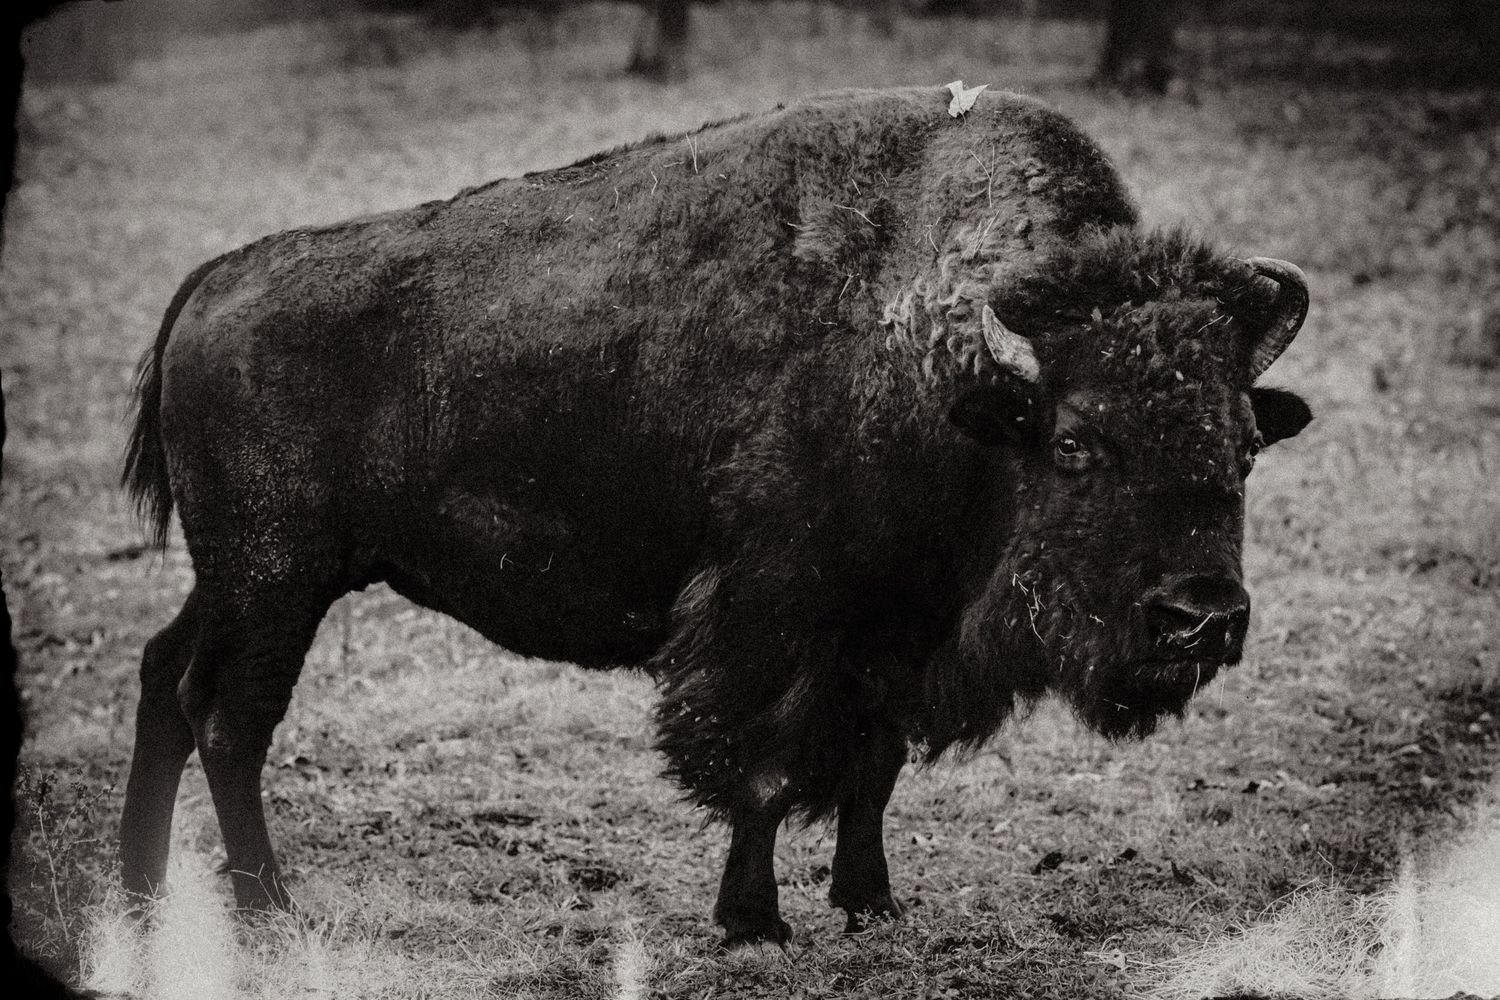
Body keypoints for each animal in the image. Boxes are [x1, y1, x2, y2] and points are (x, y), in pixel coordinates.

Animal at [119, 85, 1311, 946]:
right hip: (276, 580)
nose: (1202, 617)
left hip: (239, 579)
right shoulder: (773, 618)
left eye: (1245, 445)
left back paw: (138, 890)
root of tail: (216, 279)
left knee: (164, 679)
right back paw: (267, 907)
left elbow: (873, 771)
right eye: (1075, 443)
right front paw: (755, 924)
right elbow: (766, 771)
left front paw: (871, 903)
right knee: (229, 719)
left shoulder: (892, 633)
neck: (945, 366)